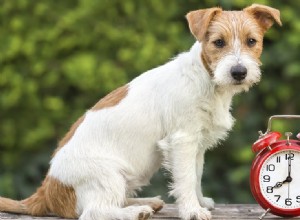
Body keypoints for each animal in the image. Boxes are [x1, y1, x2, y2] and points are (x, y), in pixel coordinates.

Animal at [0, 3, 282, 220]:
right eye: (218, 42)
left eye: (252, 41)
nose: (239, 72)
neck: (207, 80)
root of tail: (47, 190)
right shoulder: (182, 141)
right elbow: (185, 178)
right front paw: (192, 210)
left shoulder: (197, 144)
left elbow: (196, 175)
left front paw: (199, 202)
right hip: (108, 174)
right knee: (95, 212)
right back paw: (136, 211)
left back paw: (146, 203)